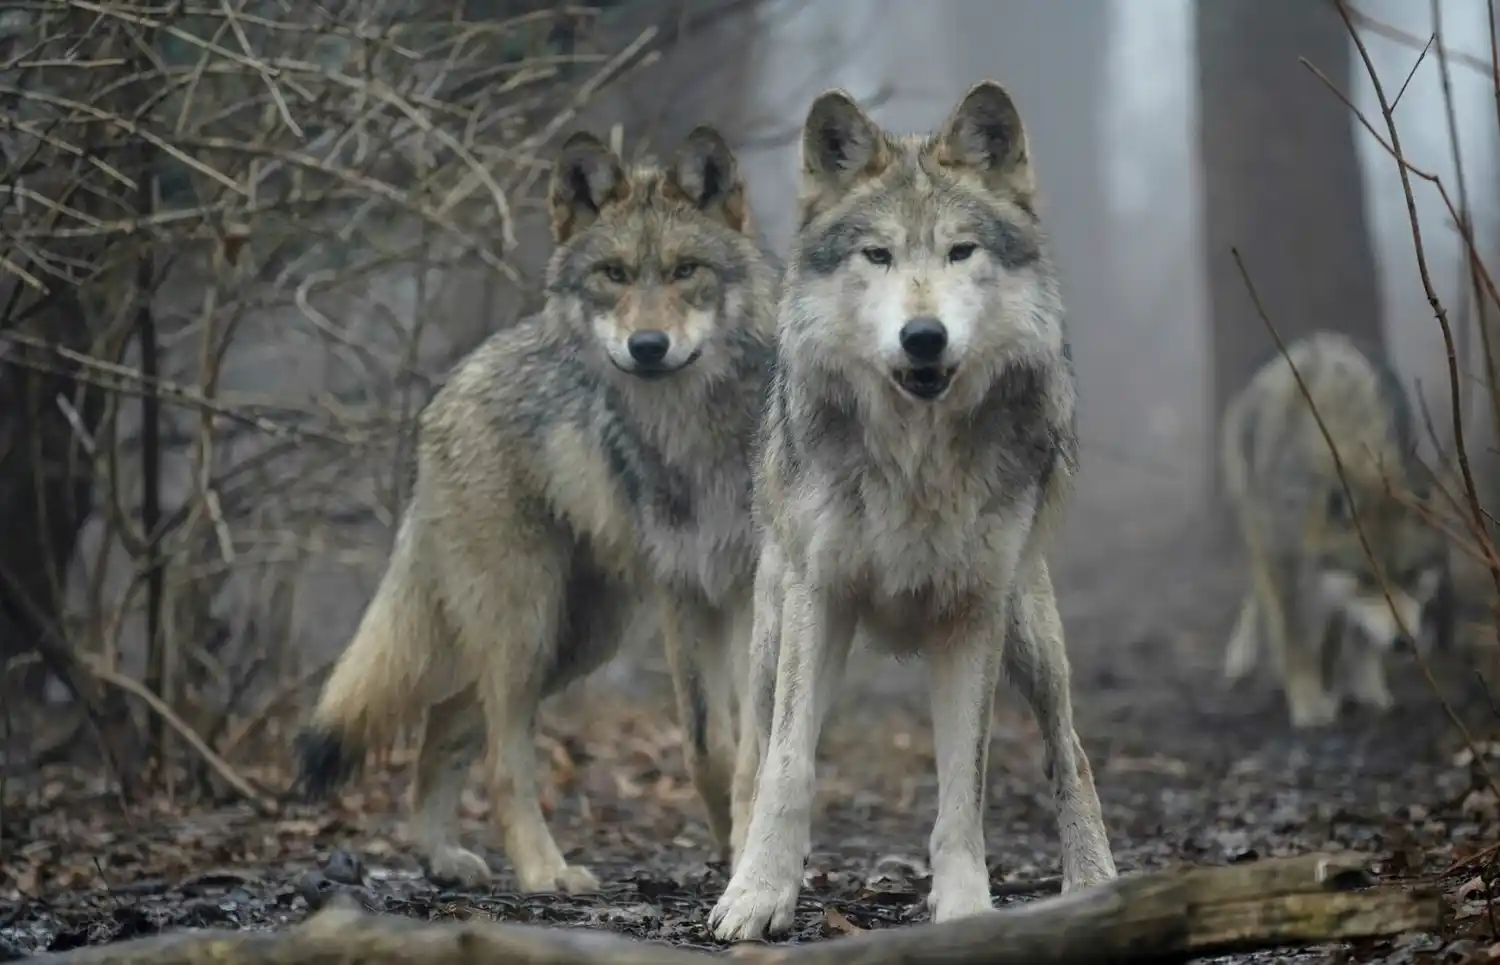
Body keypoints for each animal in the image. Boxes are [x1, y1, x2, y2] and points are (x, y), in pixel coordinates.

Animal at [294, 125, 777, 894]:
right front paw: (737, 864)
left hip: (575, 638)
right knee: (498, 757)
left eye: (685, 270)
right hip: (529, 626)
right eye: (613, 274)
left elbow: (756, 752)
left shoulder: (754, 593)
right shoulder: (685, 594)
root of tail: (454, 381)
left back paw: (443, 856)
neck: (696, 435)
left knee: (444, 723)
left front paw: (746, 867)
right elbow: (710, 748)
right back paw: (543, 870)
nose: (647, 347)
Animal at [708, 81, 1118, 942]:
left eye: (961, 252)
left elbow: (965, 787)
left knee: (1070, 749)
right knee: (754, 756)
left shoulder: (971, 614)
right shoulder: (818, 598)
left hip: (1027, 629)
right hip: (770, 633)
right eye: (879, 255)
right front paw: (759, 894)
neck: (917, 457)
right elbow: (788, 766)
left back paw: (1094, 880)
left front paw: (964, 909)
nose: (923, 336)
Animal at [1220, 332, 1453, 729]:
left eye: (1409, 575)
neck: (1355, 451)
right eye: (1368, 578)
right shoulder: (1287, 563)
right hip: (1258, 531)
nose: (1403, 643)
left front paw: (1369, 691)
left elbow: (1357, 637)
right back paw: (1244, 658)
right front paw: (1309, 706)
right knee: (1260, 592)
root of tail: (1312, 341)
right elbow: (1294, 639)